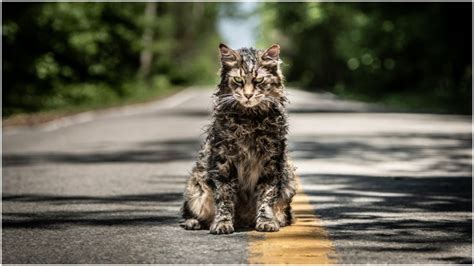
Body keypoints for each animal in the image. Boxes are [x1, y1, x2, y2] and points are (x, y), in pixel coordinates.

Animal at [181, 42, 296, 234]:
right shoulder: (223, 161)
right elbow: (224, 197)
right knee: (189, 211)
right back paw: (193, 222)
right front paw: (222, 223)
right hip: (195, 186)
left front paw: (266, 221)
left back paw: (275, 220)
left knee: (284, 213)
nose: (248, 95)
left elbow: (266, 196)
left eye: (259, 81)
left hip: (289, 180)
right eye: (238, 80)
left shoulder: (271, 161)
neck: (249, 120)